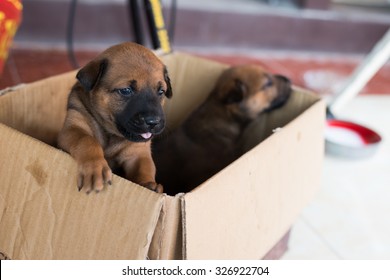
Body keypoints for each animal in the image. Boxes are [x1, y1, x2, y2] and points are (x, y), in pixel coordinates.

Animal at [58, 42, 172, 195]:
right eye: (126, 90)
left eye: (161, 91)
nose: (153, 122)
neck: (110, 134)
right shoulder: (72, 127)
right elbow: (87, 140)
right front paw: (95, 168)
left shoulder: (138, 153)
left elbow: (145, 168)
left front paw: (148, 184)